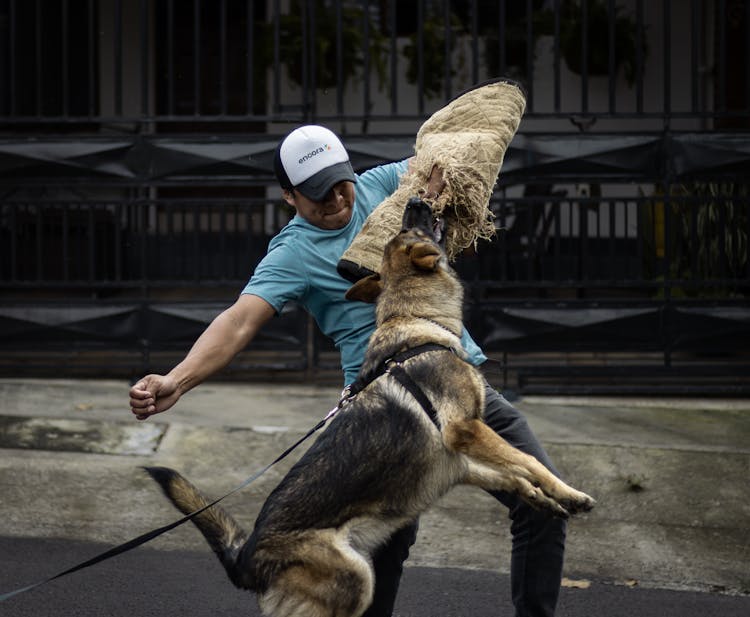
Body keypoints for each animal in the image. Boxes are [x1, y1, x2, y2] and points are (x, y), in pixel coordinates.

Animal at [145, 197, 592, 616]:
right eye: (411, 228)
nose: (416, 200)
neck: (414, 319)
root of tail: (246, 559)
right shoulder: (464, 430)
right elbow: (528, 461)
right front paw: (571, 491)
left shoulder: (458, 461)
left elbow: (513, 472)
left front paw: (547, 499)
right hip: (357, 577)